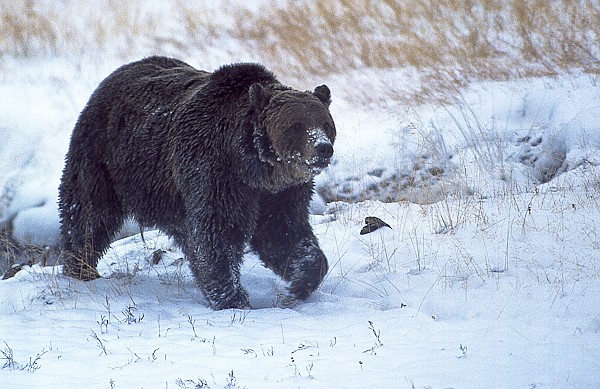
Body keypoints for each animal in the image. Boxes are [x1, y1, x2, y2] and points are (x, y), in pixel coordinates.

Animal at [58, 55, 336, 310]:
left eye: (326, 123)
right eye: (297, 125)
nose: (323, 148)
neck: (255, 169)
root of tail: (114, 76)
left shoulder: (282, 192)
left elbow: (283, 232)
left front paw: (299, 283)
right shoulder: (215, 171)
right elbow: (218, 232)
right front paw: (233, 298)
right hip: (106, 159)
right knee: (89, 213)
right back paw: (81, 268)